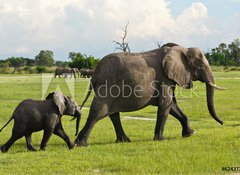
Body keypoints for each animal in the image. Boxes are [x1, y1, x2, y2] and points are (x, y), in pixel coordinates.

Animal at [75, 44, 225, 146]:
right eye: (201, 67)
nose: (222, 123)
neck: (182, 49)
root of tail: (94, 74)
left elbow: (172, 105)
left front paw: (191, 133)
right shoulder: (164, 79)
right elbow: (166, 104)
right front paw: (161, 139)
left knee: (113, 114)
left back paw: (124, 141)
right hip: (107, 87)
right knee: (98, 112)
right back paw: (81, 144)